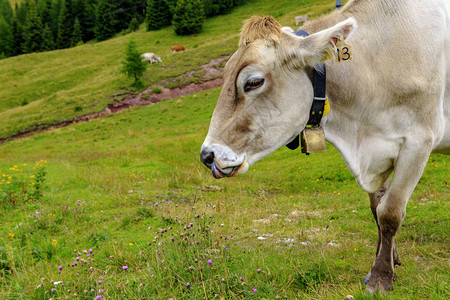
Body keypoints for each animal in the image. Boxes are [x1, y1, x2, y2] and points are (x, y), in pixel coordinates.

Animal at [201, 0, 450, 296]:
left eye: (253, 82)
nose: (207, 155)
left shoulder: (419, 140)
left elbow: (389, 213)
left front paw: (380, 277)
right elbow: (376, 208)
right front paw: (385, 262)